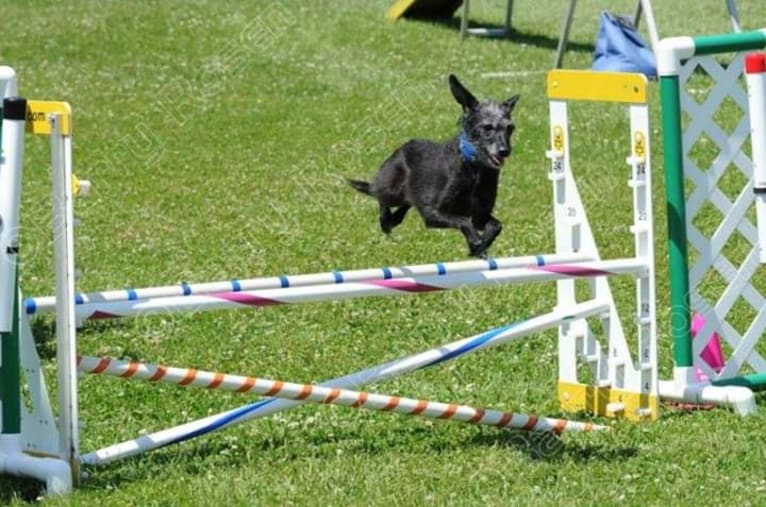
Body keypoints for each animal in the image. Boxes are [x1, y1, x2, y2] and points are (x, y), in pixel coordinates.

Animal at [350, 74, 520, 258]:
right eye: (487, 128)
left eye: (510, 128)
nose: (505, 151)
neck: (473, 169)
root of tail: (402, 148)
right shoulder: (432, 213)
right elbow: (463, 221)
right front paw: (475, 242)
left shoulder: (479, 215)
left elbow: (496, 225)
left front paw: (480, 246)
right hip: (392, 189)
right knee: (379, 195)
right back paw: (386, 220)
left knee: (404, 203)